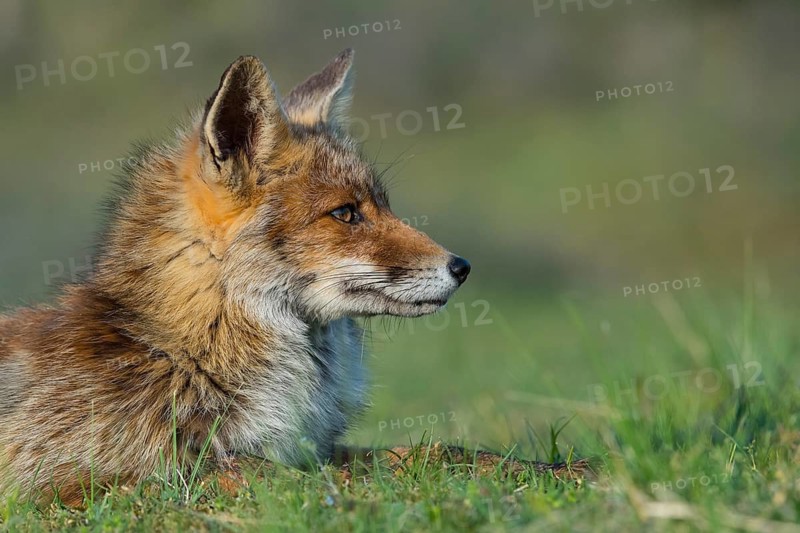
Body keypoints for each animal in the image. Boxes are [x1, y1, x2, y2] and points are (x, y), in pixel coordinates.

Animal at [0, 49, 585, 506]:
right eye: (346, 213)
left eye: (381, 204)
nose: (461, 267)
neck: (185, 351)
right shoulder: (82, 484)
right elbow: (301, 480)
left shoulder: (307, 446)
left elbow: (436, 452)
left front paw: (555, 470)